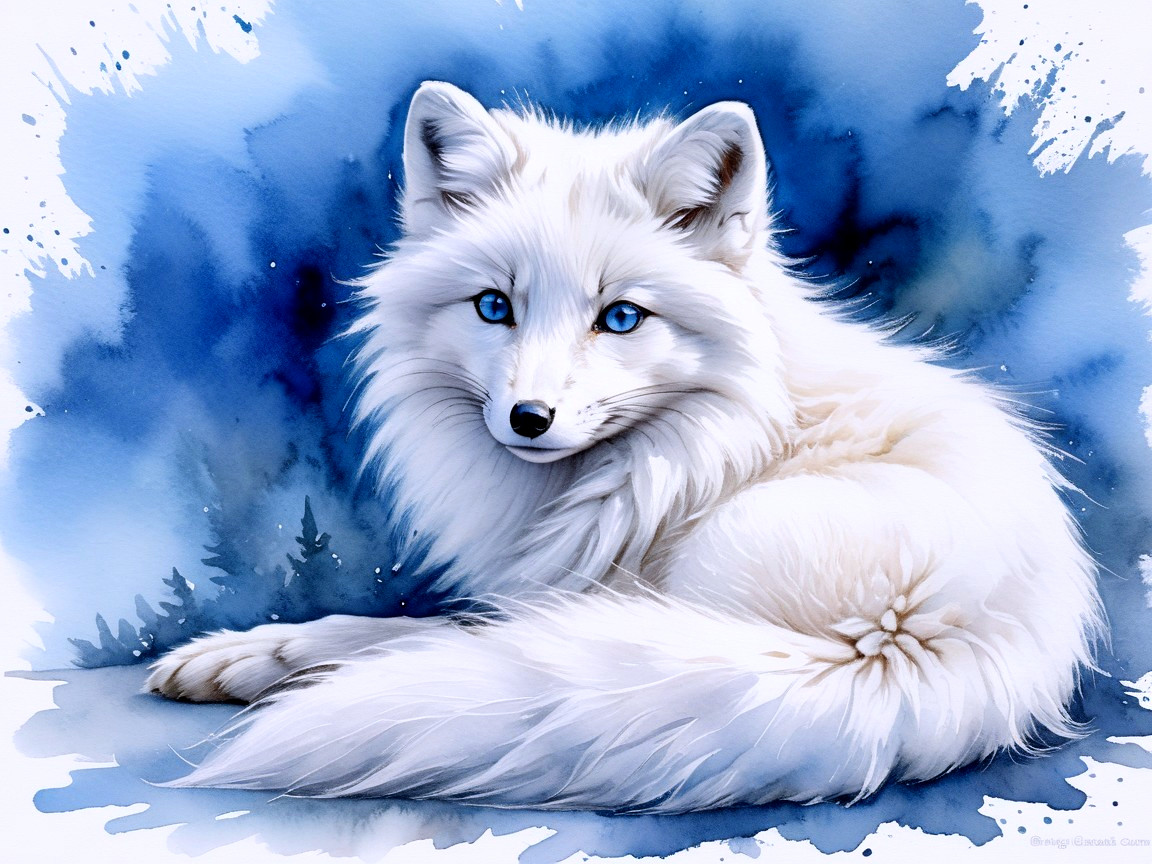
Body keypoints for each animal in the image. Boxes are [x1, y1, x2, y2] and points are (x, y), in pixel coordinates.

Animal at [145, 81, 1103, 813]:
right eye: (495, 306)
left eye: (620, 317)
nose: (529, 417)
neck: (715, 442)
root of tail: (924, 650)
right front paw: (249, 656)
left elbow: (412, 636)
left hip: (717, 569)